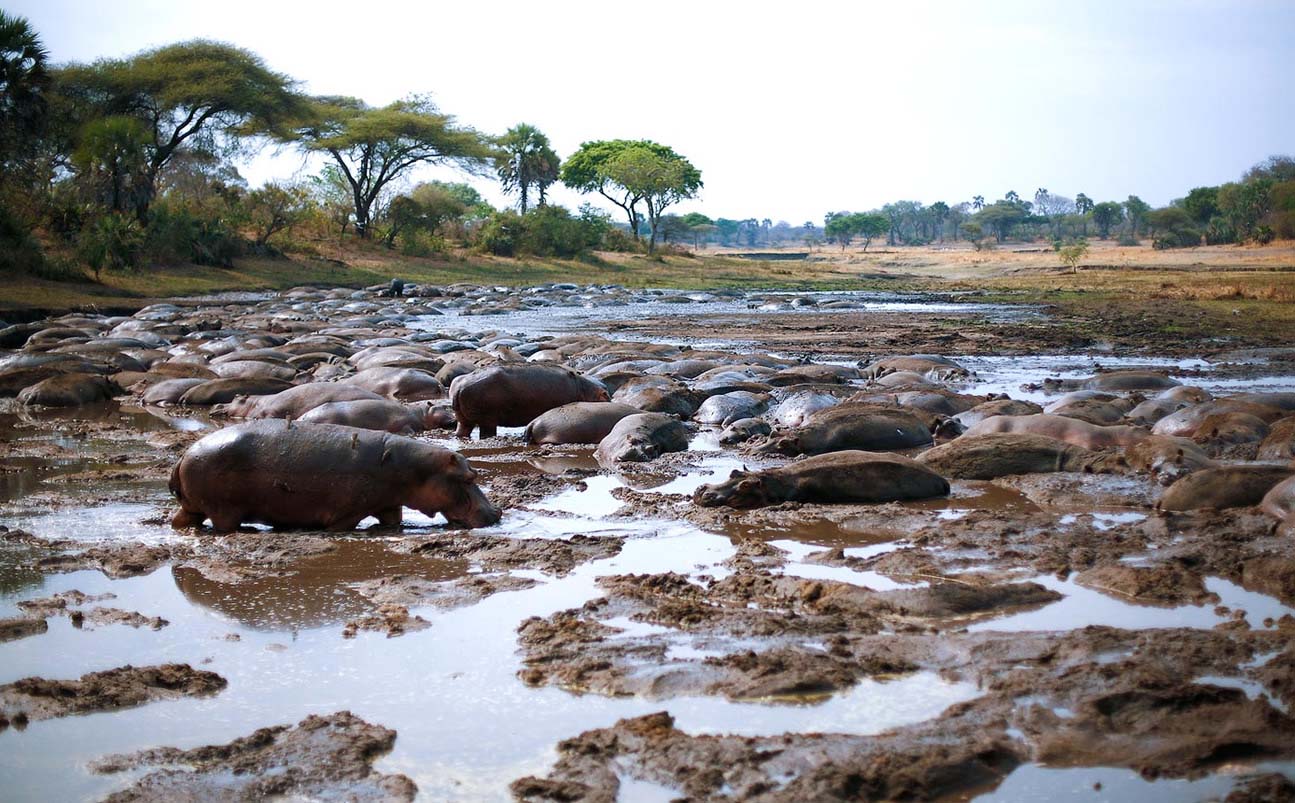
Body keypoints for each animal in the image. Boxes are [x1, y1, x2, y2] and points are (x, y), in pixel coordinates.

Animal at [168, 419, 499, 533]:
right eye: (469, 478)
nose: (496, 513)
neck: (417, 469)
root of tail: (184, 455)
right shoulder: (346, 513)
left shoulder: (388, 505)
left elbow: (392, 520)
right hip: (224, 511)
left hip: (193, 507)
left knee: (181, 520)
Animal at [450, 365, 611, 440]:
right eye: (605, 395)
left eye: (605, 390)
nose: (605, 392)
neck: (584, 387)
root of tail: (459, 386)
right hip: (487, 421)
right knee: (486, 433)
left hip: (464, 420)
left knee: (462, 431)